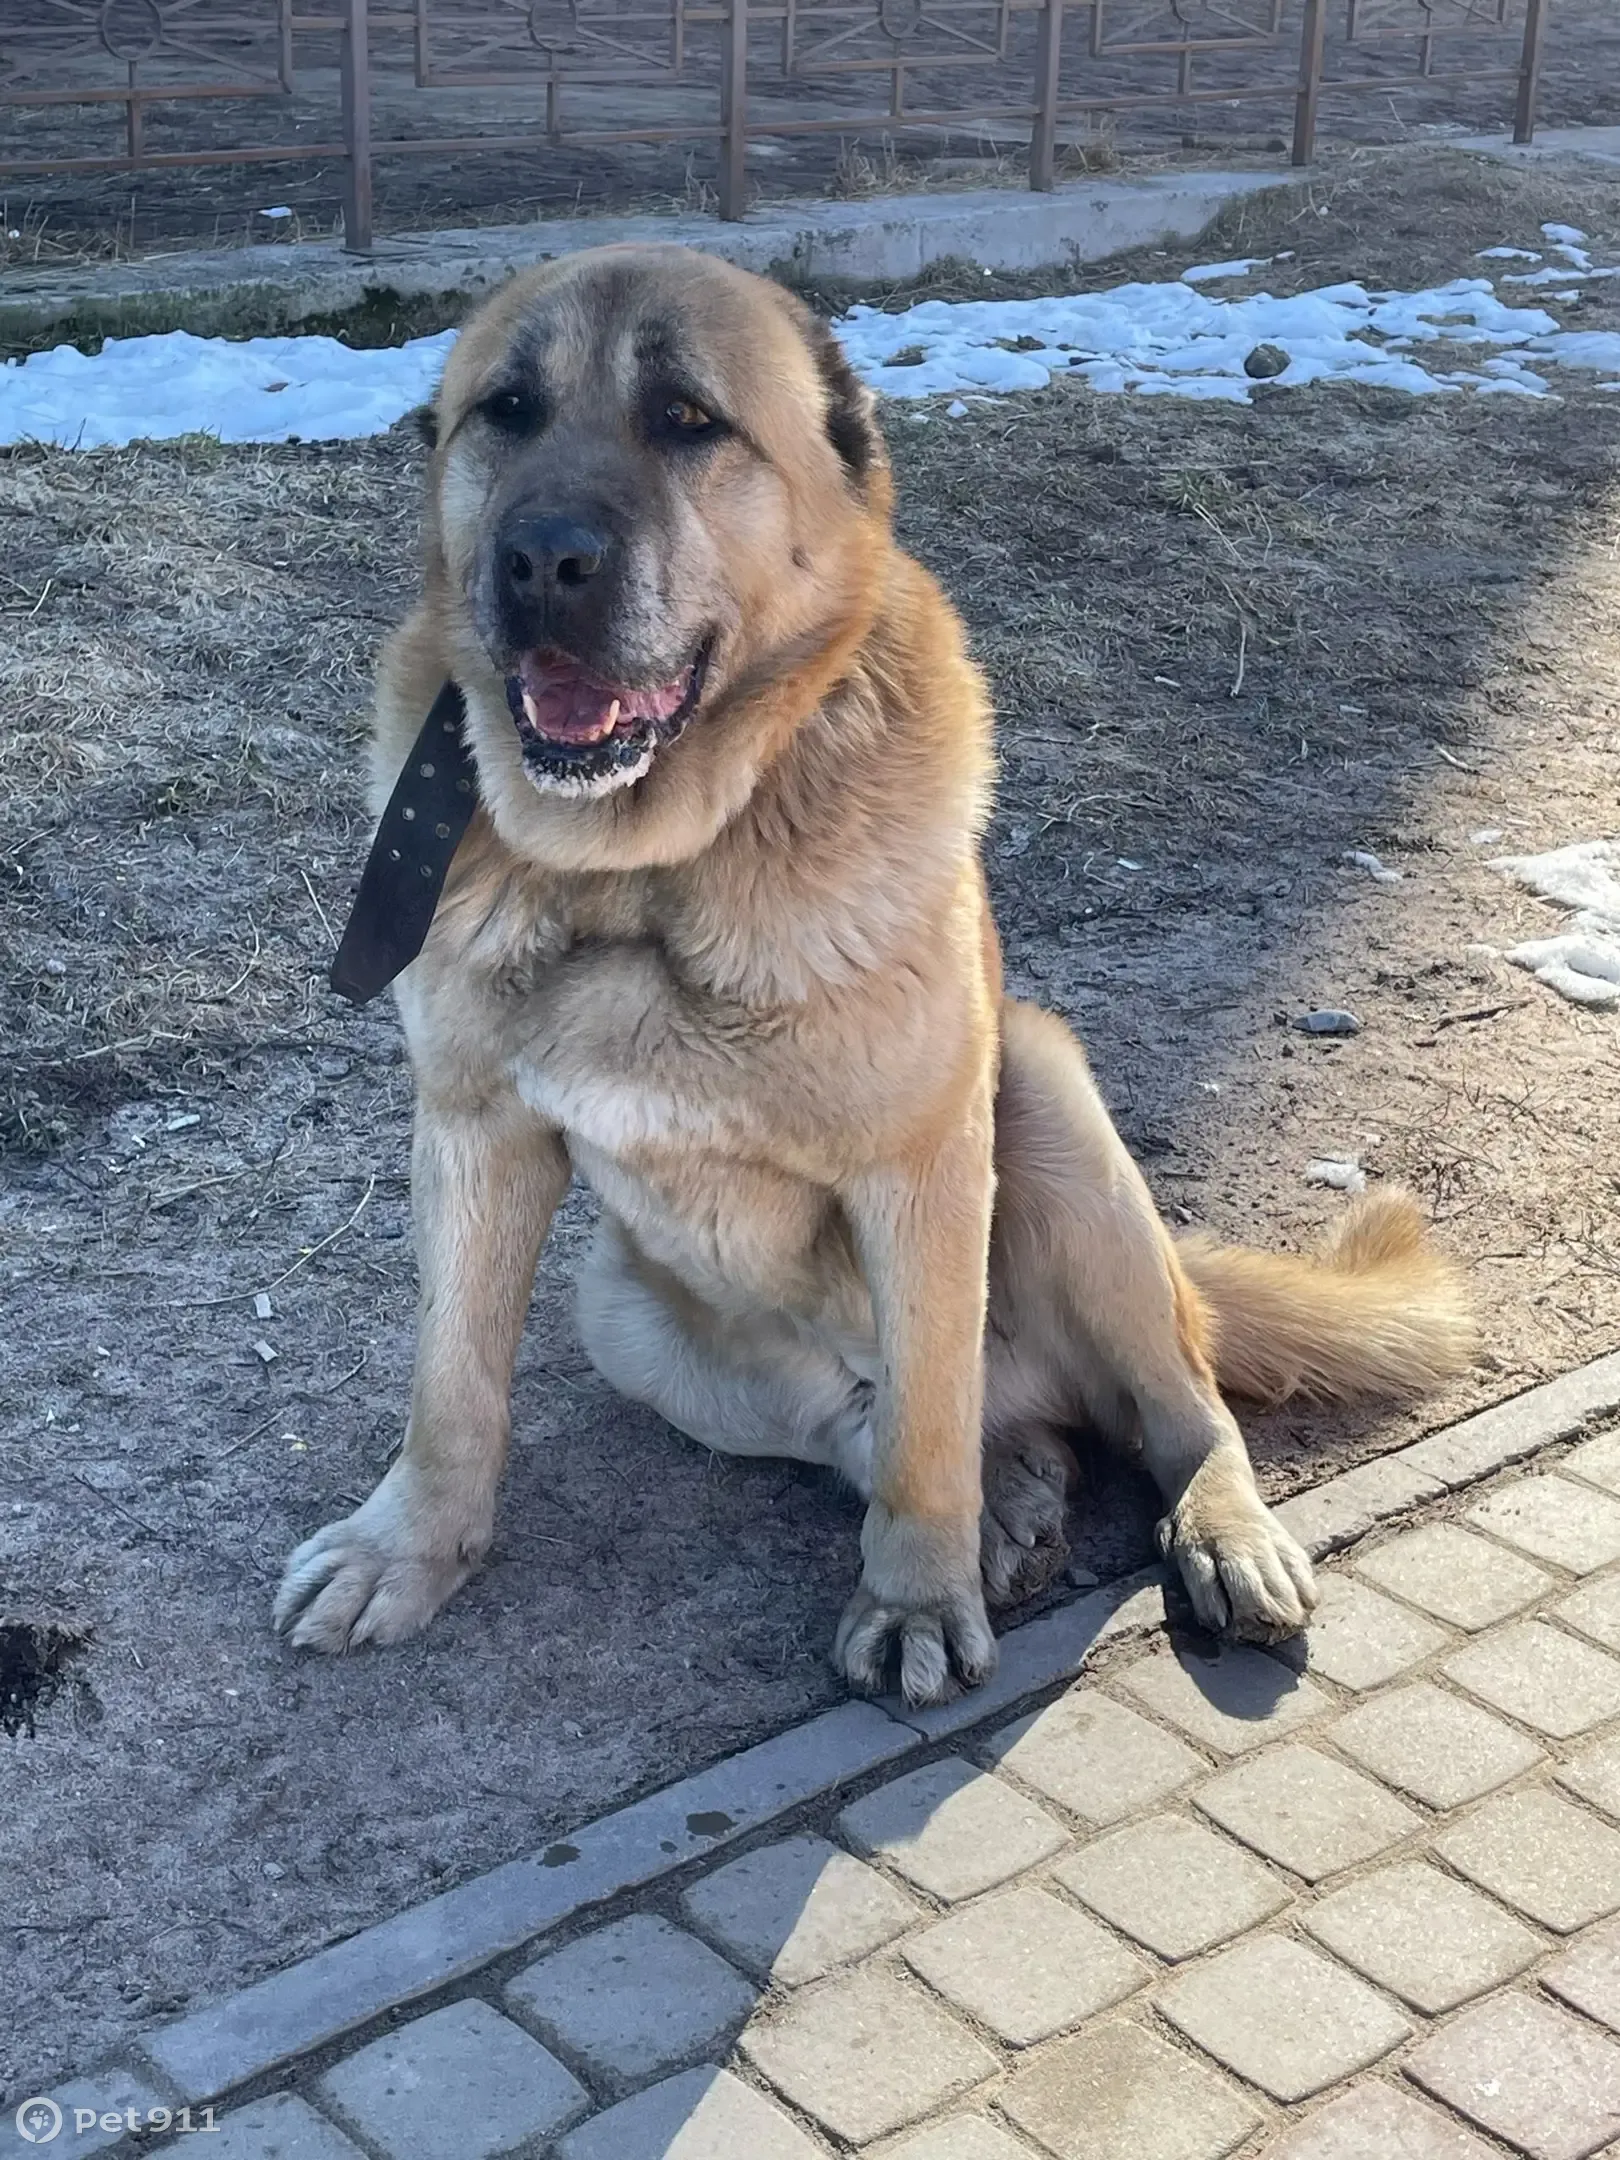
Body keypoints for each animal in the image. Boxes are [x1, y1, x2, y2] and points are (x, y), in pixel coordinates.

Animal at [273, 248, 1477, 1702]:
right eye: (506, 411)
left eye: (687, 420)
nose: (542, 559)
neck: (648, 871)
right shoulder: (472, 1133)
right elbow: (450, 1386)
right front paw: (408, 1549)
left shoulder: (922, 1166)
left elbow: (925, 1427)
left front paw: (911, 1601)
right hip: (626, 1309)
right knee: (906, 1420)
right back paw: (1016, 1496)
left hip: (1051, 1108)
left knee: (1168, 1407)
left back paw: (1214, 1529)